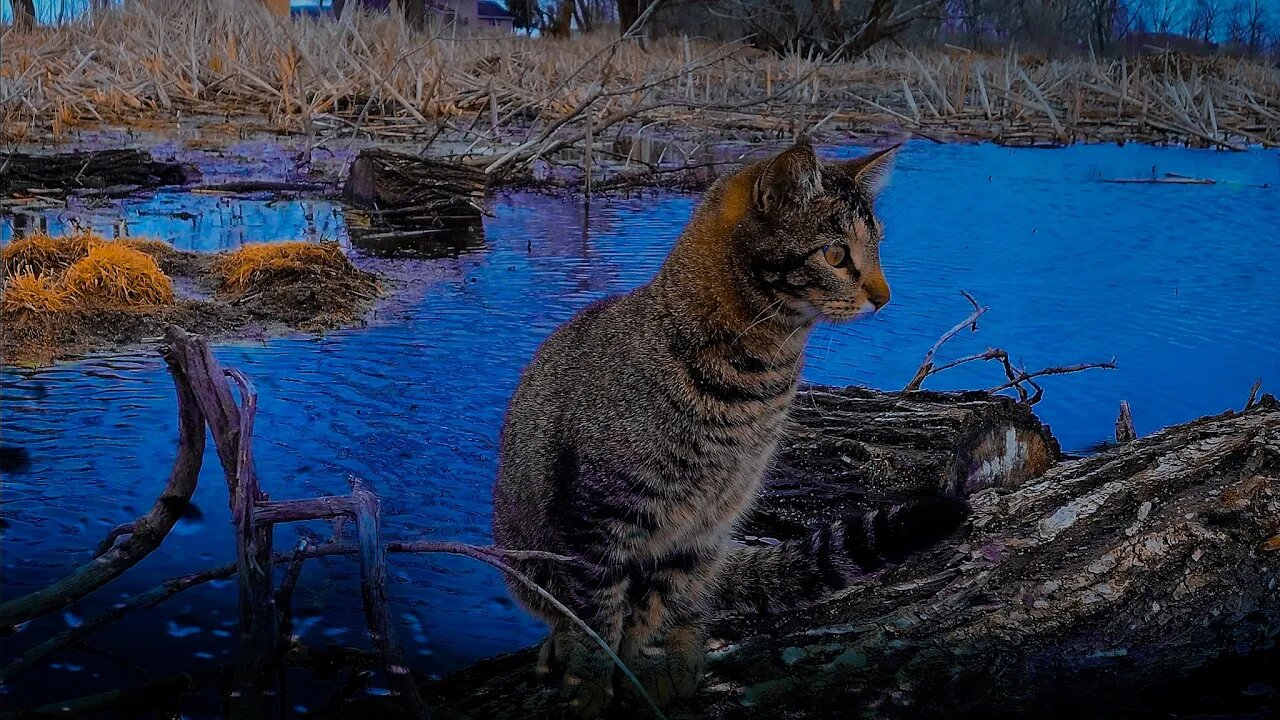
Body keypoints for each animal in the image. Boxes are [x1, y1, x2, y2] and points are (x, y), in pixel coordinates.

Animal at [491, 139, 967, 712]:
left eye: (876, 247)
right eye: (835, 254)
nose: (884, 295)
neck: (751, 387)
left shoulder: (704, 526)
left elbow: (660, 610)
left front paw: (657, 664)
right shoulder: (596, 518)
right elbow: (596, 619)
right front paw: (591, 683)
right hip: (522, 545)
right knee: (558, 607)